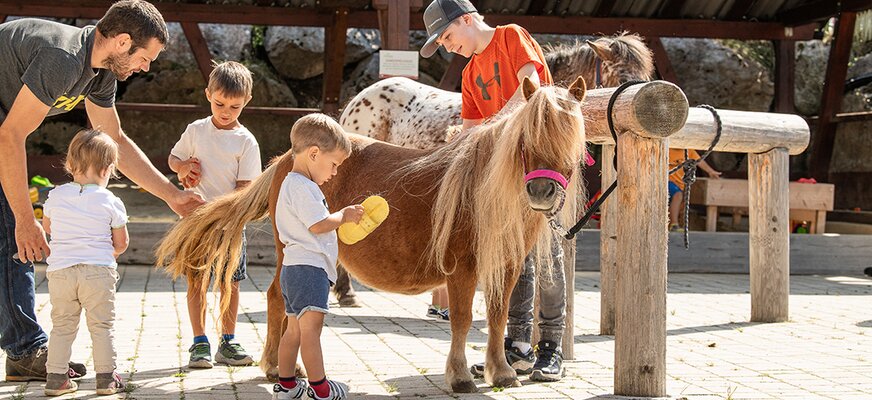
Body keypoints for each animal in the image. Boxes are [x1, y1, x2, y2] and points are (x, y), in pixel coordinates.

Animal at [158, 76, 592, 392]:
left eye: (572, 139)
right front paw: (460, 376)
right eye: (528, 138)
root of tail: (286, 160)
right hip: (290, 252)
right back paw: (278, 367)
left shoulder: (506, 266)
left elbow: (499, 317)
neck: (483, 191)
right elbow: (463, 319)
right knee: (279, 299)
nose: (541, 192)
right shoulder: (462, 269)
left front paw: (500, 373)